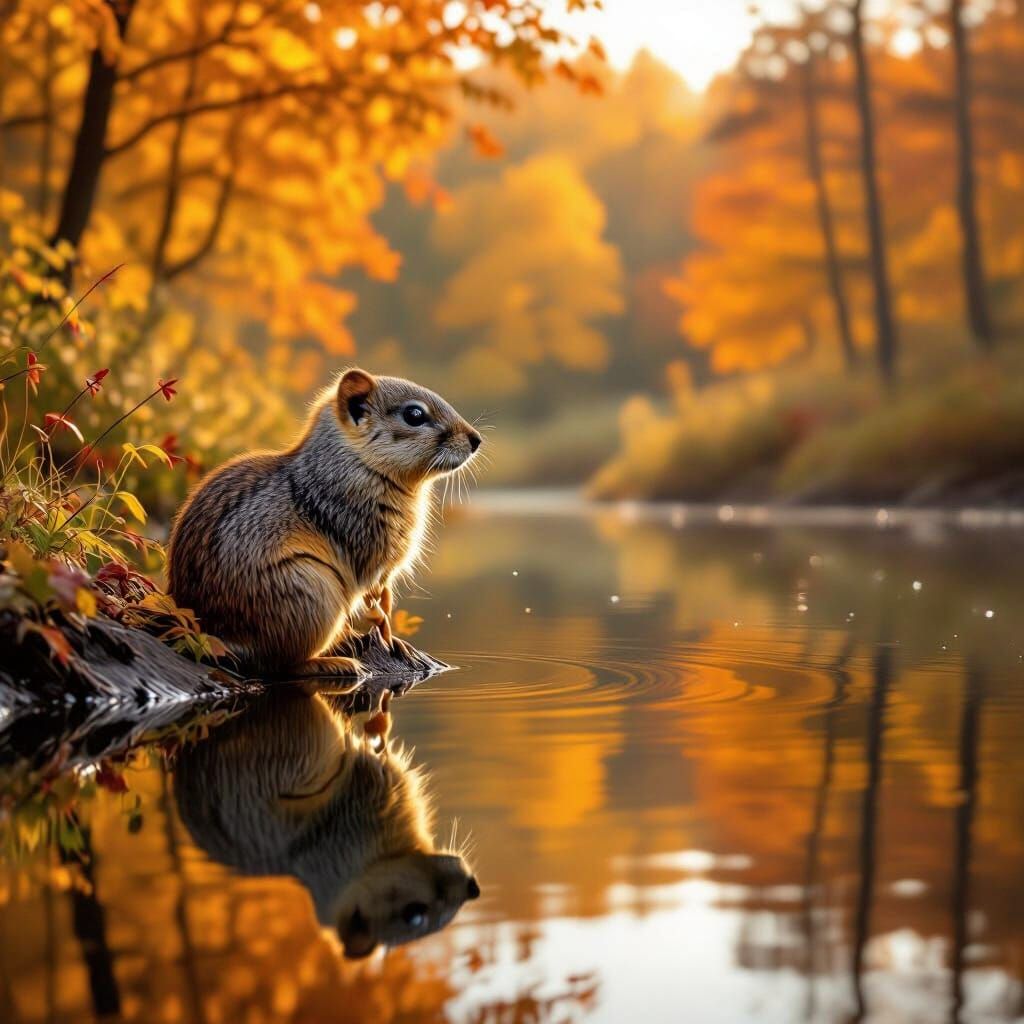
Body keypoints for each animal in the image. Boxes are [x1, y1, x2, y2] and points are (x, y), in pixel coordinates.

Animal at [167, 368, 482, 677]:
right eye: (414, 415)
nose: (476, 439)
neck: (360, 464)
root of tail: (213, 636)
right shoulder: (366, 548)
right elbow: (375, 605)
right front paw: (389, 637)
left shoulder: (385, 570)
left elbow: (385, 597)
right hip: (312, 596)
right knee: (279, 665)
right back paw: (338, 663)